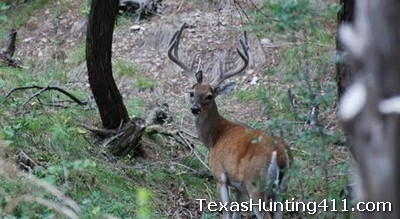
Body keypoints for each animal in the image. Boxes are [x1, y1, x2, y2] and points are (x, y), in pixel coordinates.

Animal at [167, 23, 292, 218]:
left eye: (209, 96)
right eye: (191, 93)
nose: (195, 109)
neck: (214, 137)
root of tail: (280, 153)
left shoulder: (220, 175)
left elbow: (227, 212)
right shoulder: (238, 186)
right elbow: (236, 213)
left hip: (255, 184)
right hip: (281, 188)